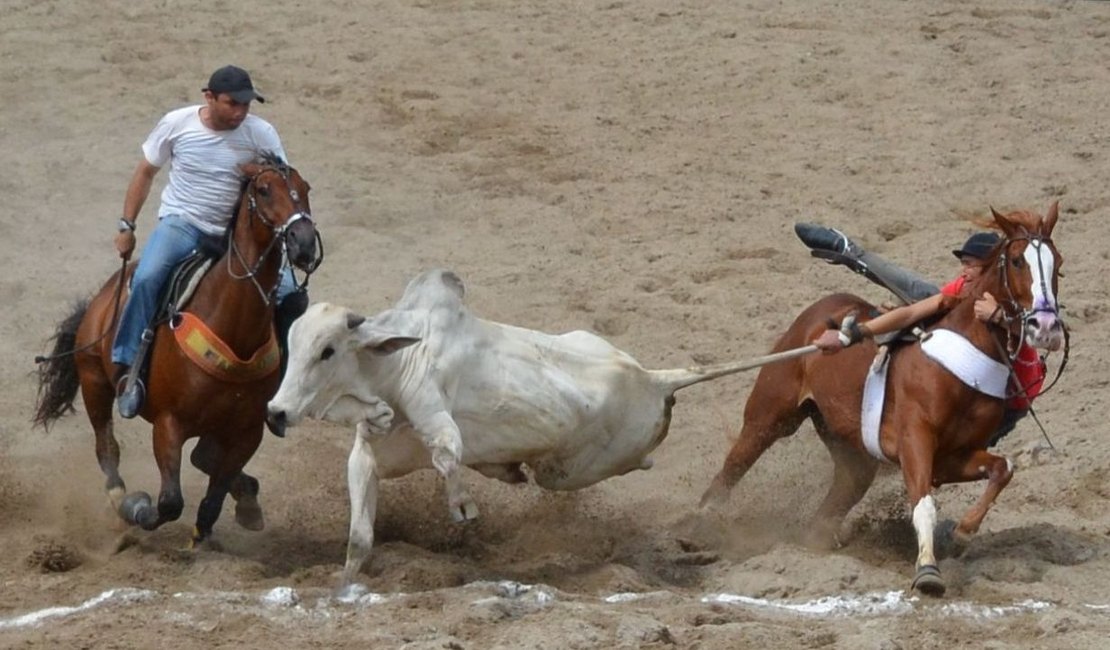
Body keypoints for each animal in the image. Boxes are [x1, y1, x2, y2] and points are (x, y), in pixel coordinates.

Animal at [34, 154, 319, 543]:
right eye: (263, 189)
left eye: (305, 189)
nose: (304, 243)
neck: (234, 330)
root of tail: (103, 295)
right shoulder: (169, 423)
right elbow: (170, 501)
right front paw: (138, 509)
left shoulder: (248, 431)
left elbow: (212, 499)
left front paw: (230, 515)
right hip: (94, 379)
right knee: (107, 447)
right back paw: (120, 498)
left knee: (203, 456)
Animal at [268, 266, 808, 585]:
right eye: (292, 343)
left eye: (328, 350)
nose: (276, 412)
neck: (399, 361)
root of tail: (652, 378)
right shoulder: (367, 457)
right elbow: (359, 538)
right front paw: (345, 586)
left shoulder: (435, 418)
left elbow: (448, 454)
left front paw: (463, 505)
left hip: (567, 473)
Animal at [701, 201, 1065, 590]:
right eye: (1017, 261)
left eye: (1057, 263)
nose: (1045, 326)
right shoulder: (914, 441)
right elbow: (924, 506)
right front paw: (928, 571)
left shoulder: (949, 457)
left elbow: (1003, 468)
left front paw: (964, 531)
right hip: (770, 415)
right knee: (733, 467)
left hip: (849, 447)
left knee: (838, 495)